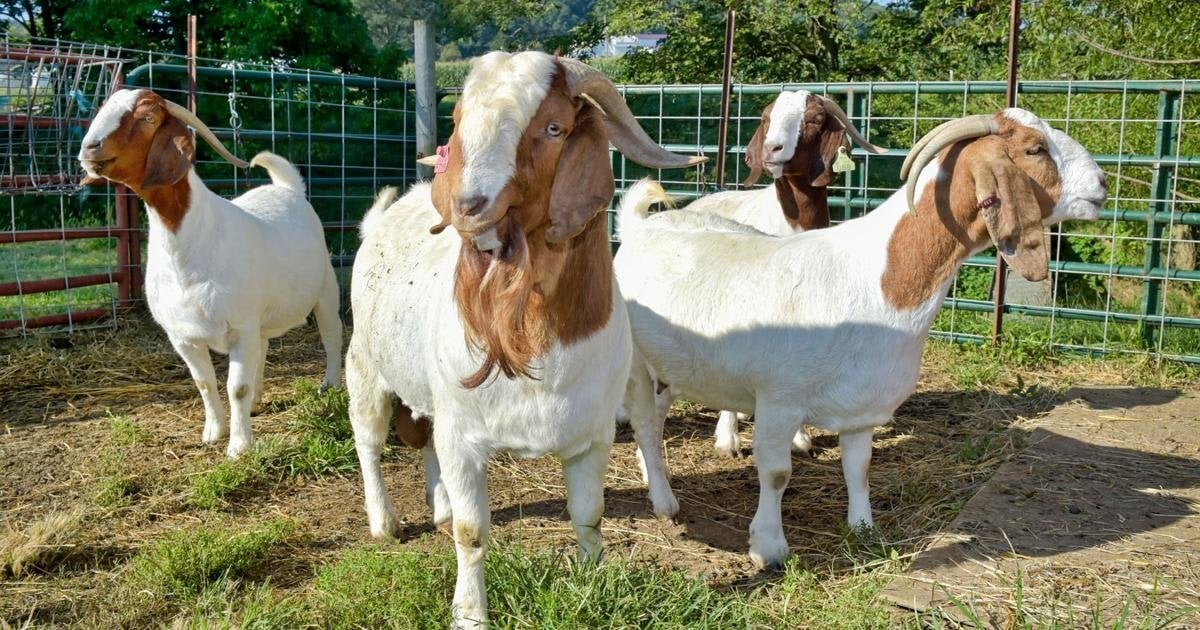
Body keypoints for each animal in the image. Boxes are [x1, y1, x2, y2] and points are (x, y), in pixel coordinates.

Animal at [77, 89, 342, 459]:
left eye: (148, 117)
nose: (90, 148)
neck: (188, 249)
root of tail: (288, 189)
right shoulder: (183, 335)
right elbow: (204, 383)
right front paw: (214, 432)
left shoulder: (240, 327)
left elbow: (237, 387)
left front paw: (239, 447)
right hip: (259, 317)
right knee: (263, 348)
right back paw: (259, 399)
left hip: (325, 291)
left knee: (332, 336)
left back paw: (329, 386)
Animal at [346, 51, 704, 628]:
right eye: (458, 120)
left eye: (554, 127)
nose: (470, 205)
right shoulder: (465, 436)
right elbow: (472, 533)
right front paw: (470, 613)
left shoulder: (593, 434)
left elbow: (589, 514)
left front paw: (590, 583)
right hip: (365, 366)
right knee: (369, 441)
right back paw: (384, 521)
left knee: (424, 441)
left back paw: (438, 508)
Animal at [614, 109, 1107, 569]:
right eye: (1035, 149)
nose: (1102, 183)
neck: (878, 279)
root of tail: (639, 227)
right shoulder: (779, 399)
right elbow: (775, 473)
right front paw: (768, 549)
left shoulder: (861, 405)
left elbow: (859, 468)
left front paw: (864, 530)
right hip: (634, 362)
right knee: (642, 421)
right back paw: (665, 503)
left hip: (670, 366)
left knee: (655, 418)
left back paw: (652, 476)